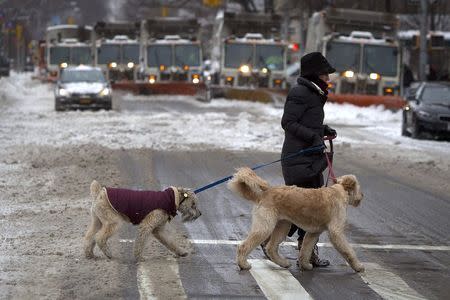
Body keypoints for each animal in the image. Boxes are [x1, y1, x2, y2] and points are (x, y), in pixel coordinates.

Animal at [229, 168, 366, 274]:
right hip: (265, 227)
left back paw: (283, 263)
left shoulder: (313, 233)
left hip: (282, 226)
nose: (362, 196)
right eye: (358, 188)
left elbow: (305, 250)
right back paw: (243, 264)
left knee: (271, 248)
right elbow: (348, 251)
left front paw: (305, 265)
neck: (340, 192)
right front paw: (358, 267)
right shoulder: (336, 233)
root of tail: (266, 192)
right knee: (244, 246)